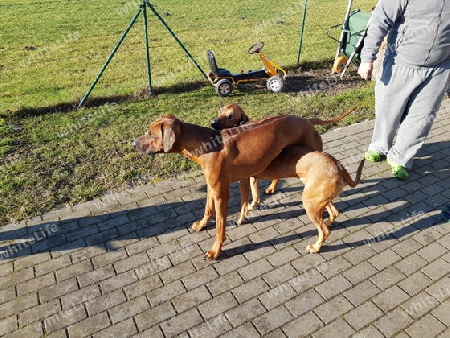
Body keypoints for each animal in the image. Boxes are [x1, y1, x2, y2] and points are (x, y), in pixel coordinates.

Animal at [134, 113, 326, 258]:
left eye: (151, 134)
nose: (133, 143)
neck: (205, 144)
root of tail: (307, 120)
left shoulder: (221, 194)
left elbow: (220, 227)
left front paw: (215, 250)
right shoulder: (211, 186)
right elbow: (207, 209)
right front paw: (202, 224)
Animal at [213, 103, 356, 209]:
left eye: (230, 116)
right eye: (220, 110)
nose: (212, 122)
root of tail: (307, 120)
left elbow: (253, 193)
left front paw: (252, 205)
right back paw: (272, 187)